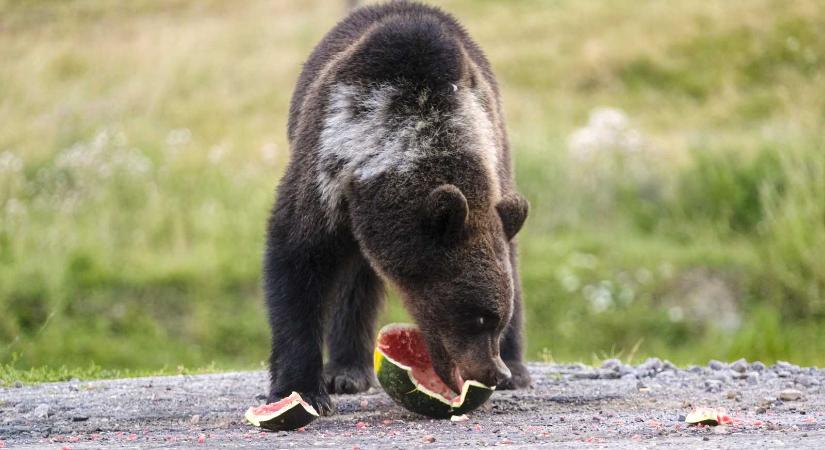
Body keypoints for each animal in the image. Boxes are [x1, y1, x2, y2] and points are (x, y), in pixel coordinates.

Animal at [266, 0, 536, 414]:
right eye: (475, 317)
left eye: (496, 319)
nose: (493, 373)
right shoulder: (326, 167)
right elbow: (297, 259)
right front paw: (302, 389)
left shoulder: (490, 158)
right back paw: (347, 370)